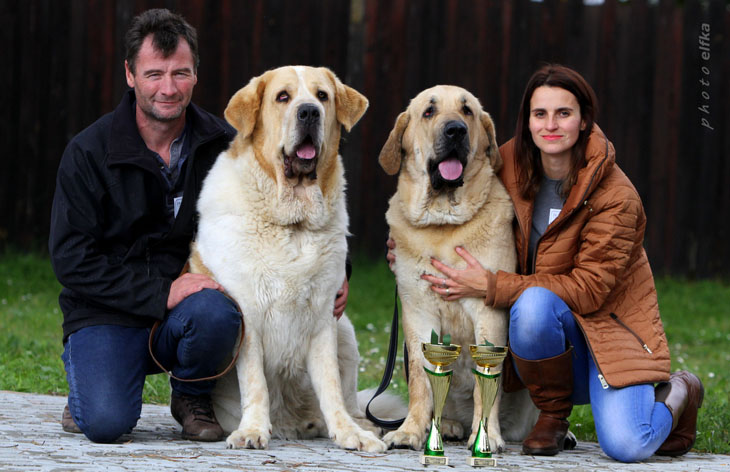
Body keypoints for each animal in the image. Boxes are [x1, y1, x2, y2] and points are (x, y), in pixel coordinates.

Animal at [191, 66, 390, 454]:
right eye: (283, 97)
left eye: (322, 96)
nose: (309, 111)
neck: (293, 224)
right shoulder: (247, 316)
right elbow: (255, 382)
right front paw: (252, 430)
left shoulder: (324, 317)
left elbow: (330, 386)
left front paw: (349, 434)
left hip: (345, 330)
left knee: (349, 399)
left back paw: (364, 426)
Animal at [378, 85, 536, 454]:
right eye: (428, 112)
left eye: (467, 111)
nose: (455, 131)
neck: (442, 224)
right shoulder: (418, 312)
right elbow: (420, 380)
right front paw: (410, 431)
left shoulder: (488, 312)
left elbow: (485, 384)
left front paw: (488, 436)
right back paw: (448, 427)